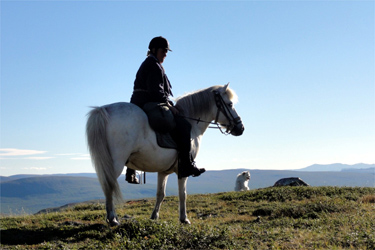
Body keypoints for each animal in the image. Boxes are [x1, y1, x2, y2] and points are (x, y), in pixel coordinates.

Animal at [85, 83, 245, 226]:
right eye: (230, 104)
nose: (240, 128)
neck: (191, 122)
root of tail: (104, 110)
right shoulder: (183, 169)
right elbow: (183, 194)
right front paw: (184, 219)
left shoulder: (163, 171)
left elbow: (160, 194)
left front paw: (154, 216)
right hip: (115, 163)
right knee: (109, 186)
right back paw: (113, 219)